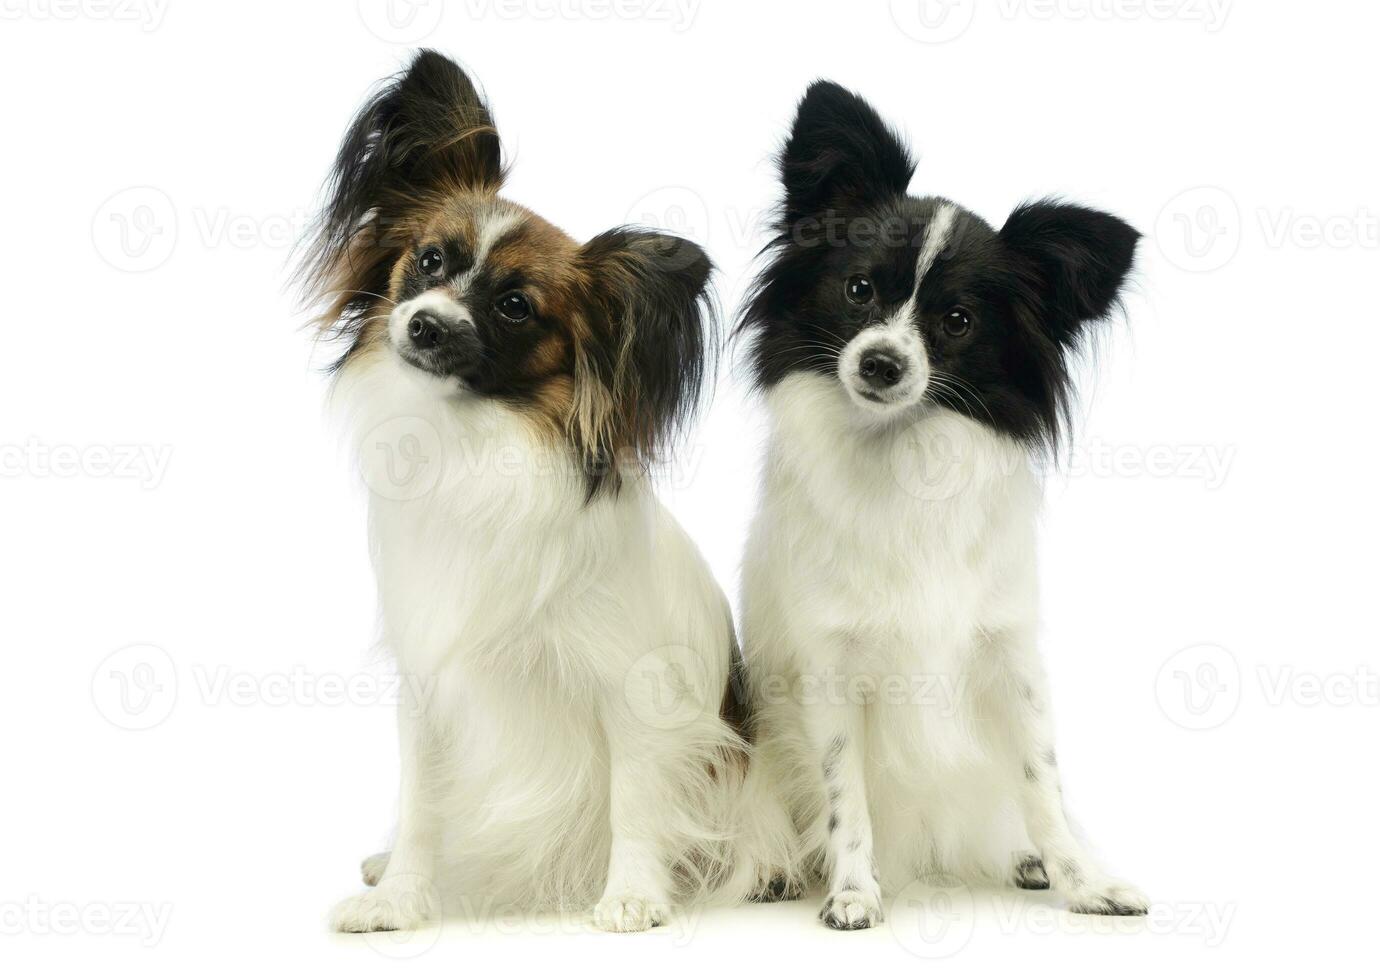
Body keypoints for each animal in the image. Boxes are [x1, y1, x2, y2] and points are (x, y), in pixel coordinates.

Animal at [739, 80, 1148, 933]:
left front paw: (1083, 879)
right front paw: (852, 890)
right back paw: (774, 866)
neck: (904, 453)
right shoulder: (830, 668)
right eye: (859, 290)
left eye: (957, 322)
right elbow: (845, 795)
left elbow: (1041, 780)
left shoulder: (1008, 656)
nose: (882, 363)